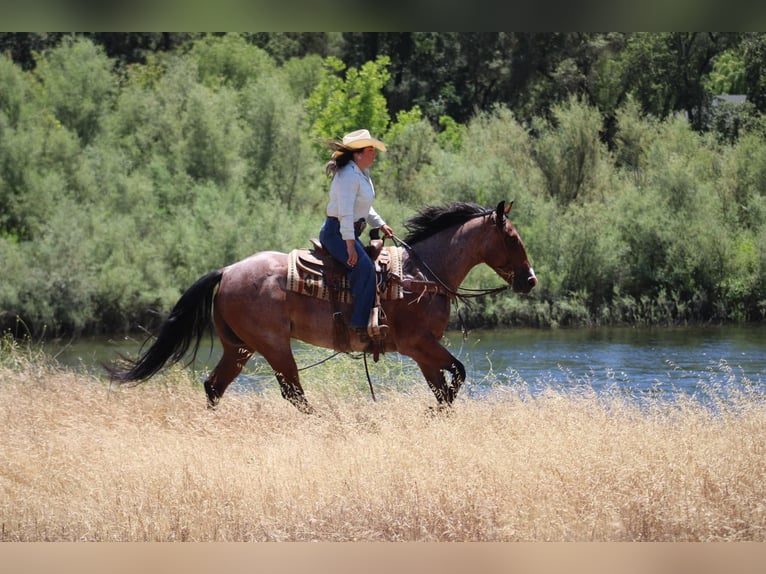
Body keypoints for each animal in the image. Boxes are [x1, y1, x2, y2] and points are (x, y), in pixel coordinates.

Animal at [106, 202, 540, 414]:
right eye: (513, 238)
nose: (530, 279)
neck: (420, 274)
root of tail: (227, 270)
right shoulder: (419, 345)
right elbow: (458, 375)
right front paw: (435, 413)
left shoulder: (424, 351)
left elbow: (445, 387)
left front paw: (438, 414)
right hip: (274, 347)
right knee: (293, 393)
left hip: (240, 348)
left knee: (215, 386)